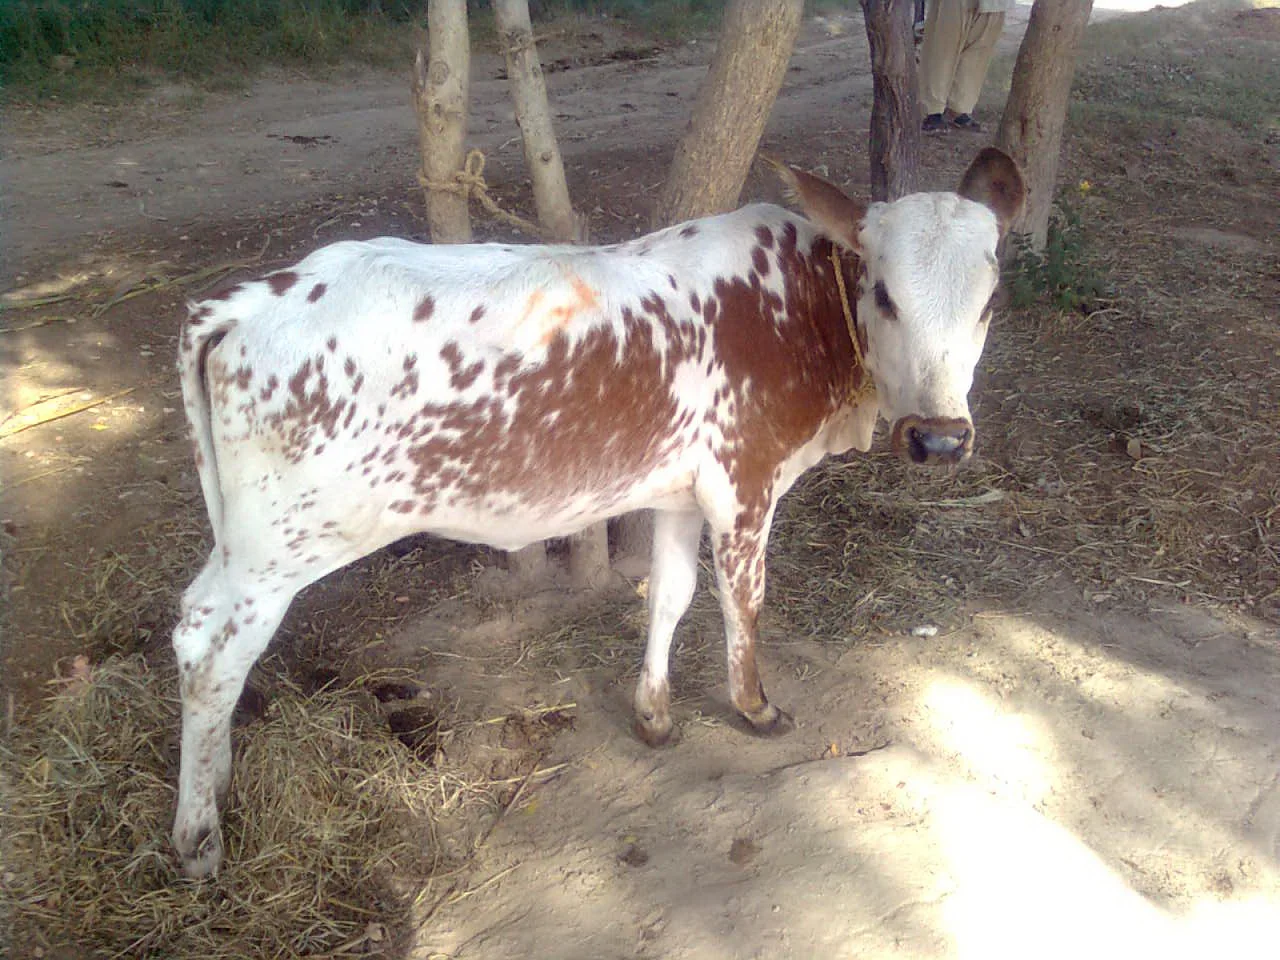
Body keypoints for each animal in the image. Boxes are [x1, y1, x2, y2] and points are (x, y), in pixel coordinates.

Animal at [170, 148, 1024, 878]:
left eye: (990, 302)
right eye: (883, 293)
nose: (939, 439)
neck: (795, 309)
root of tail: (248, 297)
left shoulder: (682, 492)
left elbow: (671, 596)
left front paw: (654, 714)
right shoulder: (744, 485)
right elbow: (742, 602)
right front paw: (754, 706)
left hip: (247, 540)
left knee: (197, 632)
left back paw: (218, 780)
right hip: (282, 544)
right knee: (210, 650)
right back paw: (198, 836)